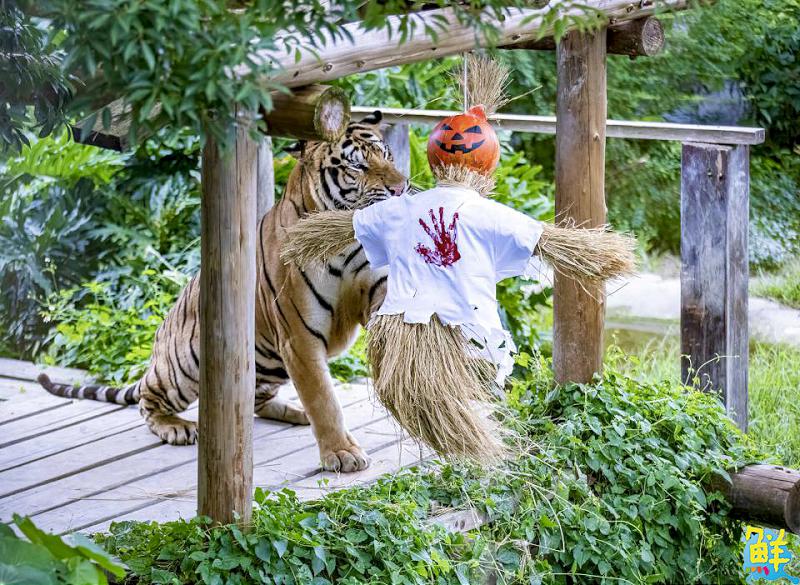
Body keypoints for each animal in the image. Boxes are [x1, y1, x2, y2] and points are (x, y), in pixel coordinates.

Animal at [38, 111, 408, 473]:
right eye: (357, 166)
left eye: (387, 155)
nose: (401, 188)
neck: (342, 240)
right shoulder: (299, 337)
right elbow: (322, 397)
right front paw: (342, 453)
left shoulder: (372, 286)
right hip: (185, 367)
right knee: (148, 401)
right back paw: (177, 427)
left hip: (268, 365)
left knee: (256, 400)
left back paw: (294, 411)